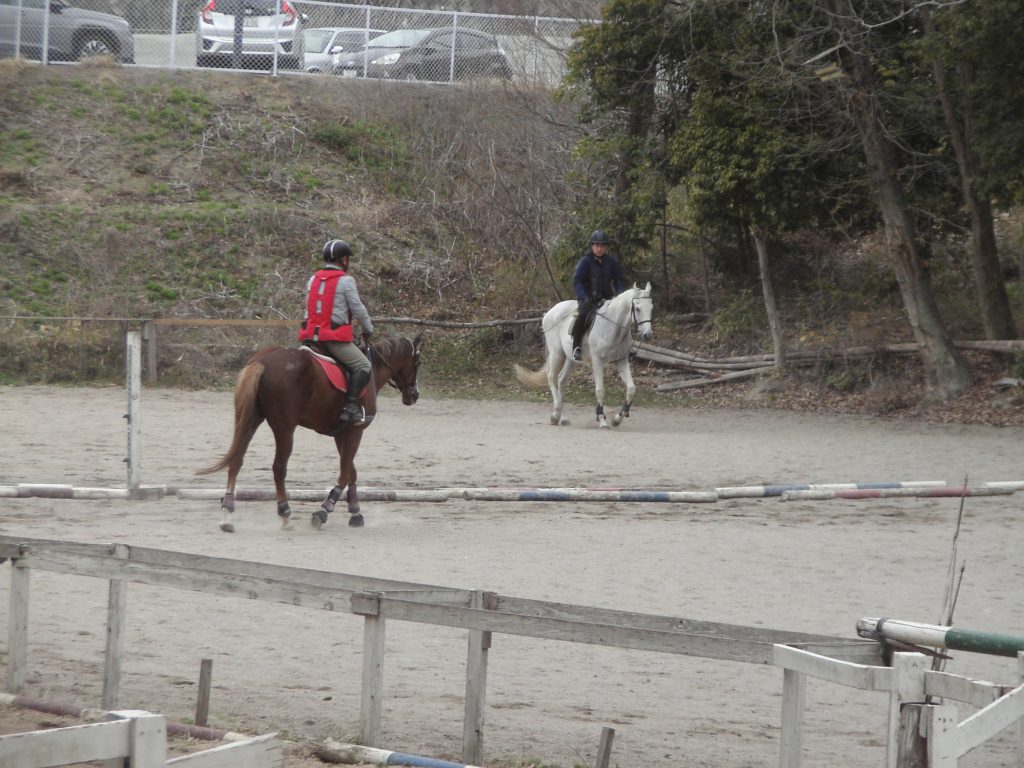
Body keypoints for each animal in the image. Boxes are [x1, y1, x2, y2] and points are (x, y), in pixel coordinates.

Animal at [197, 334, 423, 533]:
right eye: (418, 363)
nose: (414, 395)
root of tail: (264, 360)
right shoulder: (355, 431)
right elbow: (345, 473)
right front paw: (324, 511)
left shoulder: (341, 434)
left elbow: (351, 471)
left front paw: (355, 513)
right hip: (285, 428)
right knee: (279, 467)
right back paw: (285, 515)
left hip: (250, 419)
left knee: (237, 459)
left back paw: (227, 515)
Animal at [514, 283, 653, 428]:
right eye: (637, 308)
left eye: (651, 308)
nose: (647, 335)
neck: (613, 327)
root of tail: (550, 312)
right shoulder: (597, 361)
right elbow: (600, 390)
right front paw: (602, 420)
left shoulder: (621, 360)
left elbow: (631, 389)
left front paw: (617, 418)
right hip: (557, 354)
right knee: (552, 377)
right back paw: (555, 415)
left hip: (571, 359)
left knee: (561, 382)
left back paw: (562, 418)